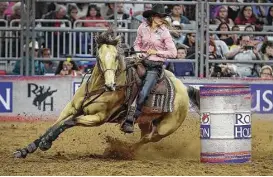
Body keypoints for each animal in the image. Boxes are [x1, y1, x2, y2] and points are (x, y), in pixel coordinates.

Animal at [13, 29, 192, 159]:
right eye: (99, 56)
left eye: (116, 57)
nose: (110, 85)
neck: (97, 87)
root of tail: (185, 89)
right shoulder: (71, 108)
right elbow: (55, 124)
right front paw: (26, 149)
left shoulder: (97, 118)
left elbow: (69, 122)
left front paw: (46, 142)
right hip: (145, 121)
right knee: (145, 135)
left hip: (166, 128)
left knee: (147, 139)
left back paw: (124, 150)